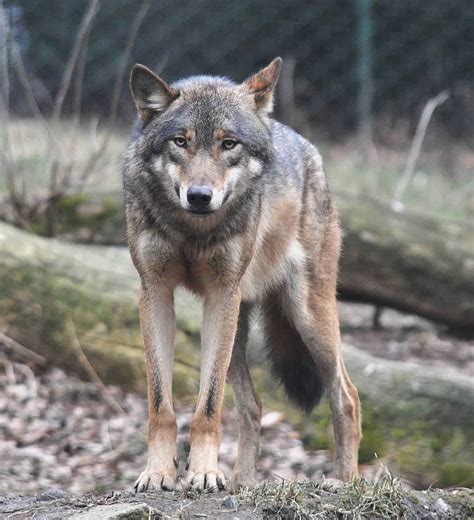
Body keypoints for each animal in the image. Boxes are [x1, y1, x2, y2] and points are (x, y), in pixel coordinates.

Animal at [124, 57, 362, 492]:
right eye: (180, 142)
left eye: (228, 144)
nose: (199, 196)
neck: (193, 231)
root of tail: (304, 144)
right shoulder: (154, 292)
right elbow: (161, 403)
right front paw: (159, 472)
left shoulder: (222, 293)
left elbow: (208, 406)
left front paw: (202, 473)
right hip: (235, 326)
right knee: (253, 406)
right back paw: (243, 483)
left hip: (305, 316)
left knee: (347, 395)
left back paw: (345, 481)